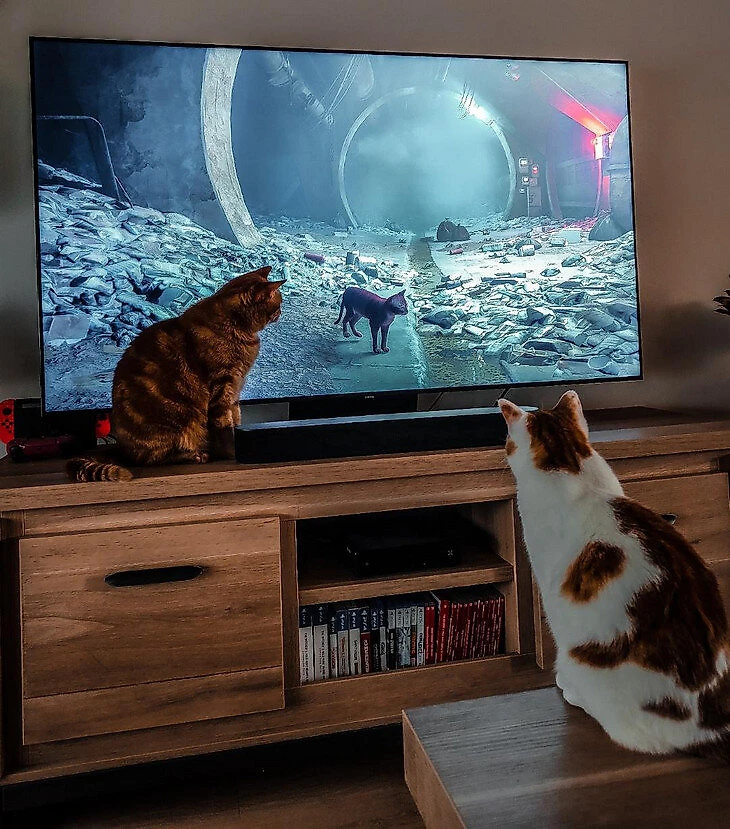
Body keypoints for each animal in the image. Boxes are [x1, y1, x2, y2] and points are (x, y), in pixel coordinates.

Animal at [67, 266, 284, 482]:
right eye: (278, 302)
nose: (281, 312)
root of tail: (120, 448)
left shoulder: (235, 391)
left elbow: (236, 419)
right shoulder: (222, 388)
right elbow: (225, 428)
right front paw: (232, 452)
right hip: (177, 421)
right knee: (153, 458)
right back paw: (196, 455)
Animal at [499, 390, 730, 757]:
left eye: (508, 441)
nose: (502, 450)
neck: (570, 465)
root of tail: (711, 727)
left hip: (583, 659)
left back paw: (575, 694)